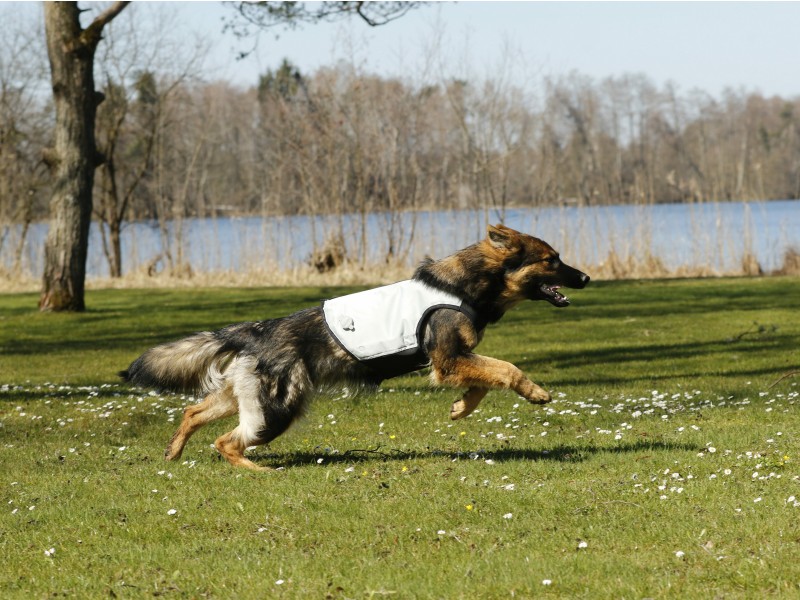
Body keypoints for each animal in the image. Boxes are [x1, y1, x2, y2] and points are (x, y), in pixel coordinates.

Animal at [122, 223, 592, 472]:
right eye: (551, 260)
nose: (587, 278)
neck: (463, 285)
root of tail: (257, 330)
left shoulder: (454, 361)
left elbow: (483, 382)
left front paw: (461, 408)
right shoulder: (448, 360)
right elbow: (506, 369)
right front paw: (535, 392)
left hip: (244, 399)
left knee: (193, 412)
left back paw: (174, 450)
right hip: (275, 411)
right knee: (226, 443)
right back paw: (259, 471)